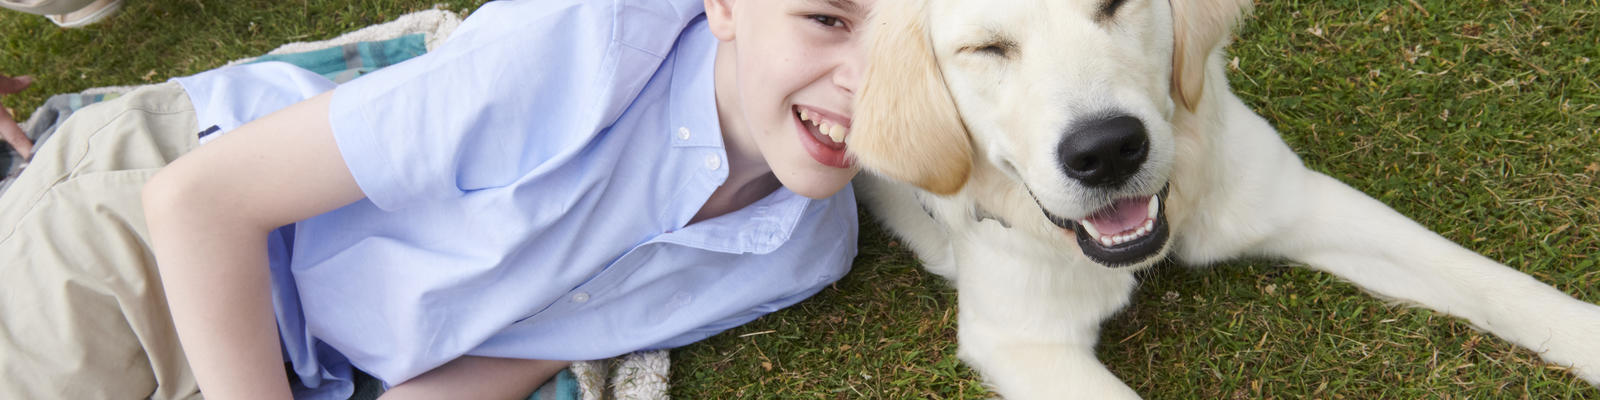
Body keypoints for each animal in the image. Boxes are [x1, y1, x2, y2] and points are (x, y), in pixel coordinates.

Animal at [844, 0, 1593, 396]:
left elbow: (1492, 283)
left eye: (1113, 6)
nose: (1107, 149)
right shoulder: (1024, 340)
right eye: (988, 48)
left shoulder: (1301, 200)